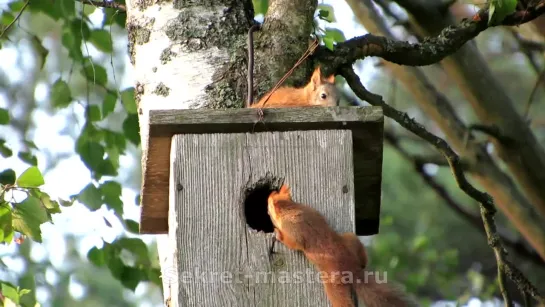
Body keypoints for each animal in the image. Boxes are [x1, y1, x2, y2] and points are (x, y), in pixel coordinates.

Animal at [266, 185, 416, 307]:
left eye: (268, 204)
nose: (268, 196)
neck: (290, 208)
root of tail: (352, 267)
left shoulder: (292, 229)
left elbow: (294, 243)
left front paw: (277, 234)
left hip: (333, 281)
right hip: (351, 240)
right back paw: (363, 263)